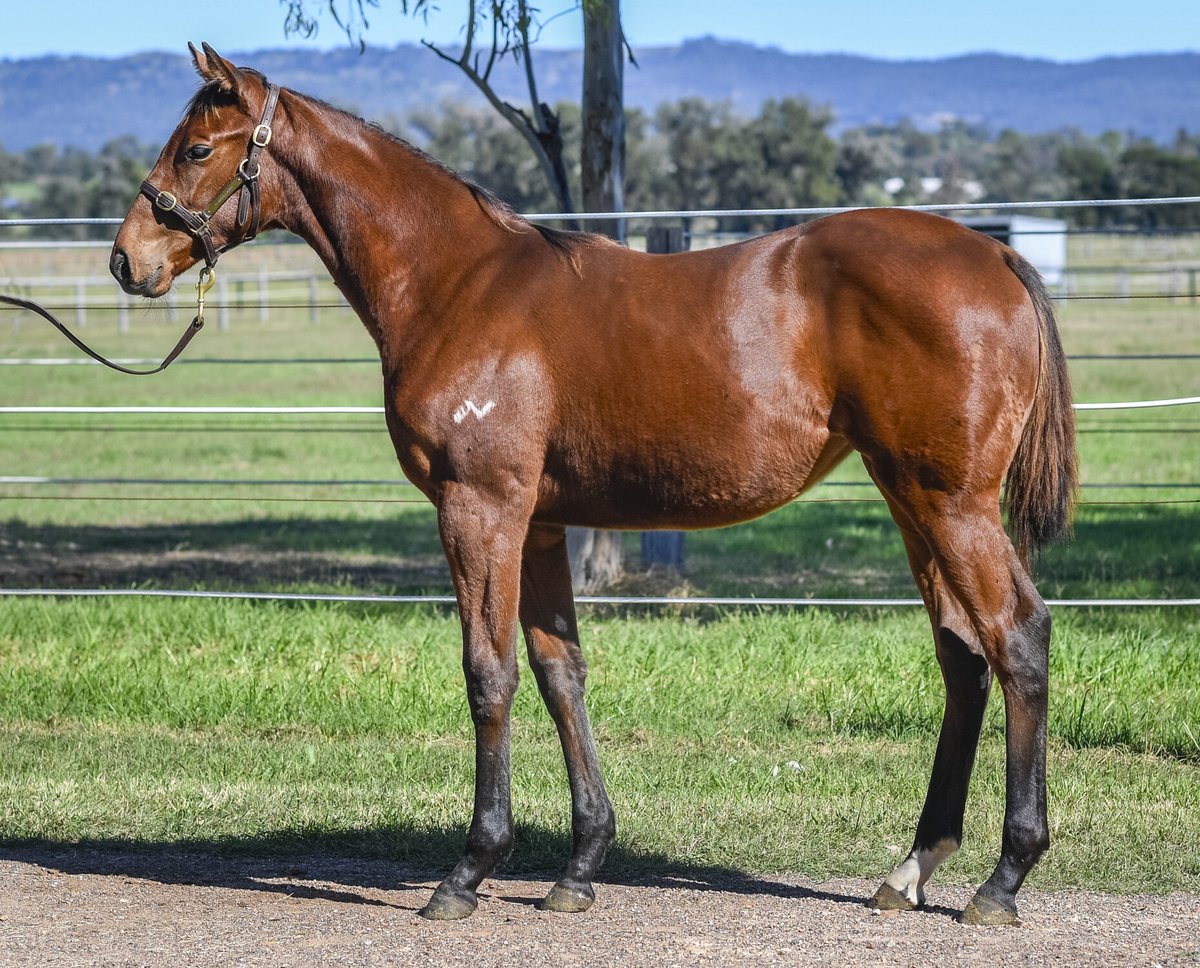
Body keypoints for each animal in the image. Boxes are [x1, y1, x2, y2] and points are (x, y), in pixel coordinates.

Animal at [108, 45, 1075, 926]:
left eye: (196, 148)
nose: (126, 261)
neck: (459, 284)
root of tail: (996, 260)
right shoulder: (538, 523)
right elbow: (558, 672)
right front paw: (579, 866)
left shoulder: (480, 508)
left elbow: (488, 674)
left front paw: (470, 870)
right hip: (911, 501)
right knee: (964, 656)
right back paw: (911, 869)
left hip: (950, 503)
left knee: (1018, 636)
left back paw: (1003, 879)